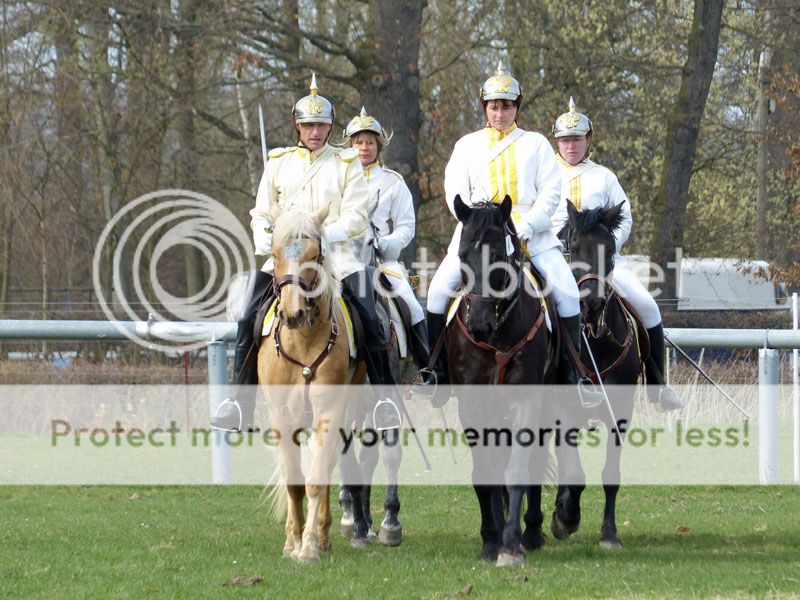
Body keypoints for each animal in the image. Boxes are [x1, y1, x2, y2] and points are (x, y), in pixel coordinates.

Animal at [260, 204, 374, 564]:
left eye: (314, 255)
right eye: (274, 253)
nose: (293, 314)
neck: (303, 342)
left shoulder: (329, 411)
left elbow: (315, 478)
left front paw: (309, 546)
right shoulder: (281, 416)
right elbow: (294, 482)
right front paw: (293, 542)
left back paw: (323, 536)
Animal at [444, 196, 556, 568]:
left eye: (498, 256)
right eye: (463, 254)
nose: (478, 325)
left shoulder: (528, 401)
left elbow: (518, 469)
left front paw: (510, 545)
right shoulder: (473, 406)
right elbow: (486, 474)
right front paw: (490, 540)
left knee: (535, 460)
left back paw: (530, 531)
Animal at [536, 200, 644, 548]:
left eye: (609, 250)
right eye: (571, 247)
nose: (592, 304)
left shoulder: (621, 413)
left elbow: (610, 474)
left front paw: (609, 533)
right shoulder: (564, 412)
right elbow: (573, 474)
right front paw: (565, 519)